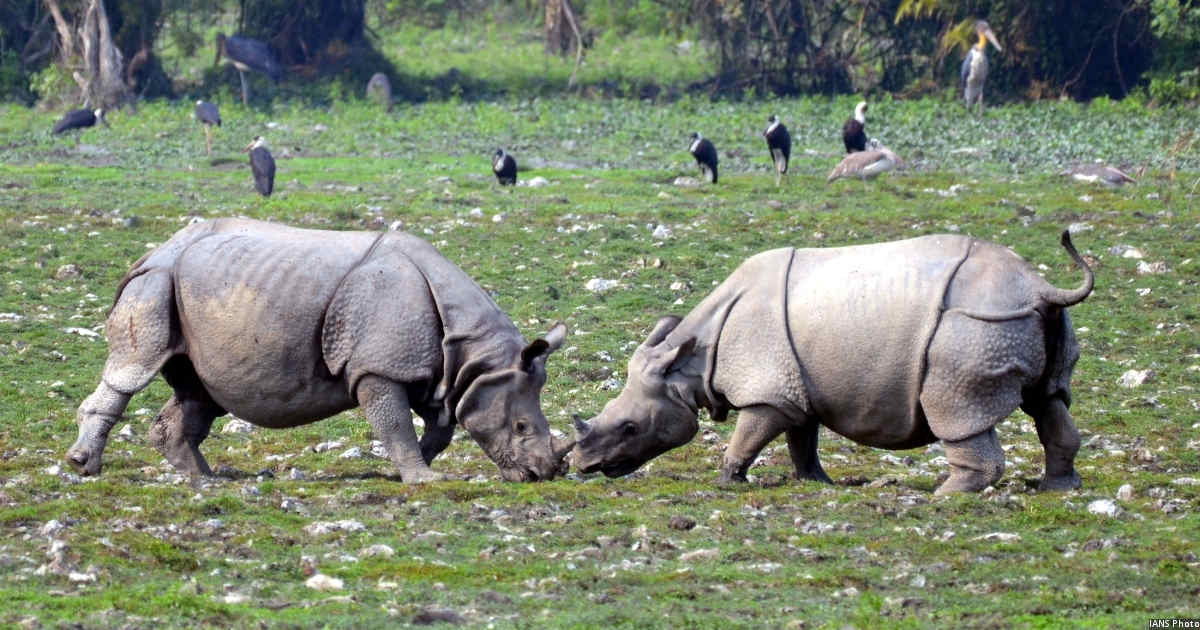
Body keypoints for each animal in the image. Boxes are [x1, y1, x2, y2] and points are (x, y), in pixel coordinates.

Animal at [67, 218, 573, 483]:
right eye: (521, 426)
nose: (543, 474)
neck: (471, 352)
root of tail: (152, 252)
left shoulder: (434, 373)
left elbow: (440, 428)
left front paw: (407, 473)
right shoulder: (379, 368)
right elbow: (394, 424)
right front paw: (424, 480)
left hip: (190, 290)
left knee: (199, 391)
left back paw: (206, 479)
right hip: (155, 285)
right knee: (133, 370)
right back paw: (84, 466)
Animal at [573, 231, 1093, 495]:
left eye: (629, 428)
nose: (582, 464)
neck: (689, 365)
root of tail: (1041, 287)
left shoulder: (768, 391)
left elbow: (748, 435)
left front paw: (727, 481)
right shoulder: (792, 388)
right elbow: (801, 438)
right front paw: (814, 481)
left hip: (973, 326)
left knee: (957, 408)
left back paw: (946, 494)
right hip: (1026, 322)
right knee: (1049, 400)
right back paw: (1057, 489)